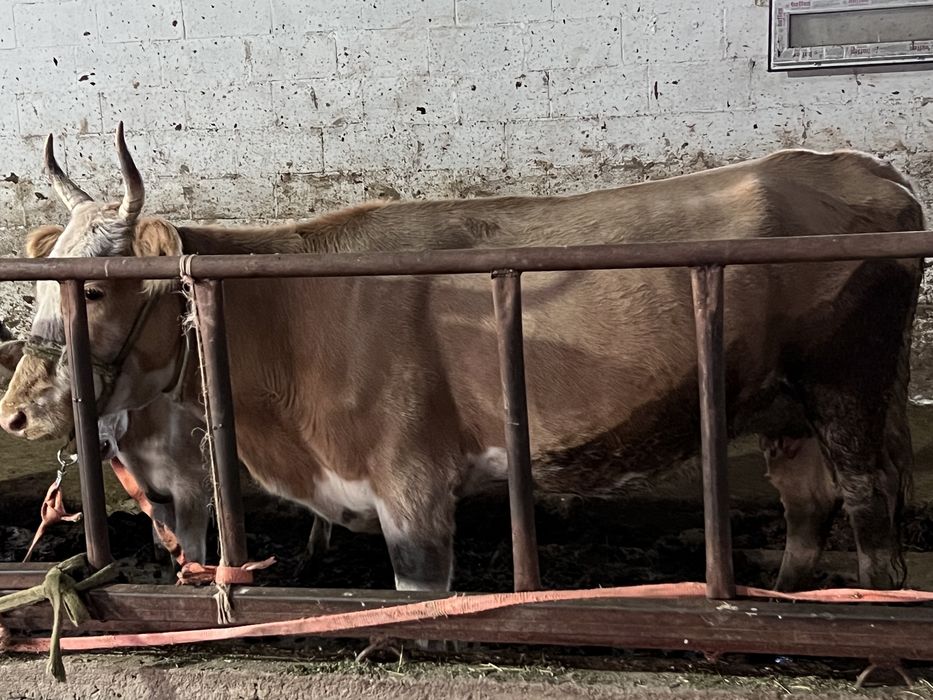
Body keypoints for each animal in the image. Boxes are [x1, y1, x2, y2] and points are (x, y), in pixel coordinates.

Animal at [0, 123, 923, 593]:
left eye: (94, 292)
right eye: (42, 281)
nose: (15, 411)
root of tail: (865, 169)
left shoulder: (411, 484)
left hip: (847, 385)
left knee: (866, 499)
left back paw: (869, 602)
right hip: (781, 402)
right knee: (806, 501)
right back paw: (789, 593)